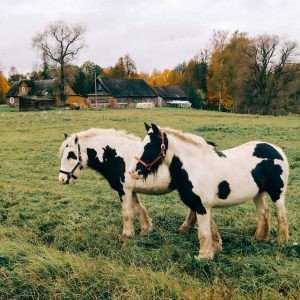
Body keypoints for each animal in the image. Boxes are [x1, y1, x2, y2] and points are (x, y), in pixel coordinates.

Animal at [130, 123, 290, 258]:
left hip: (277, 193)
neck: (195, 166)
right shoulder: (200, 206)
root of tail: (277, 150)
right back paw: (259, 239)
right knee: (264, 213)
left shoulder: (202, 206)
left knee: (281, 215)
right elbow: (210, 230)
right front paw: (214, 249)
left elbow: (204, 232)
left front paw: (203, 257)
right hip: (258, 193)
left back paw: (281, 242)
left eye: (150, 146)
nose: (133, 172)